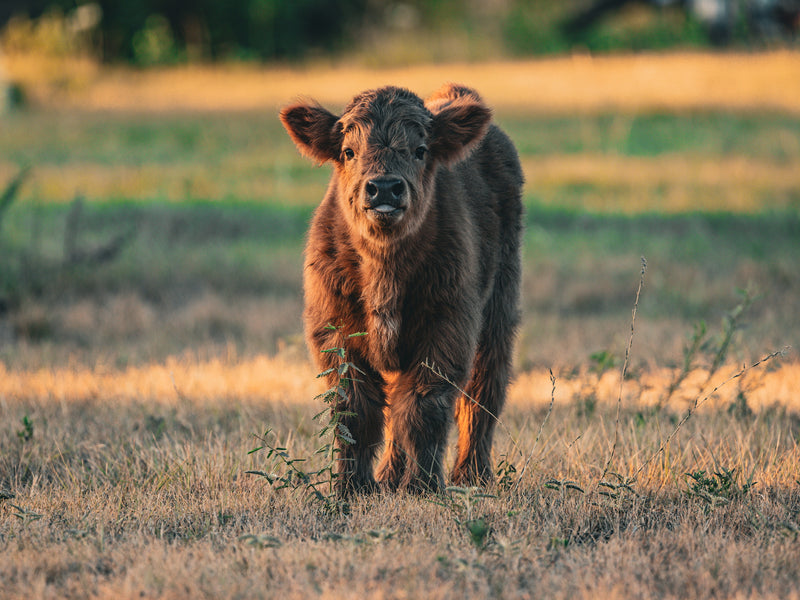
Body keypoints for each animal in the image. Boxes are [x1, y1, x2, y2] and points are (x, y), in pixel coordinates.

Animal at [280, 83, 524, 495]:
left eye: (420, 149)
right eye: (348, 151)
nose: (384, 189)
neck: (384, 273)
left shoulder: (447, 328)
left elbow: (424, 407)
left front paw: (423, 486)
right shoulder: (335, 333)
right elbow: (356, 411)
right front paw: (352, 487)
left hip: (499, 309)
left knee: (483, 390)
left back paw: (472, 475)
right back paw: (390, 475)